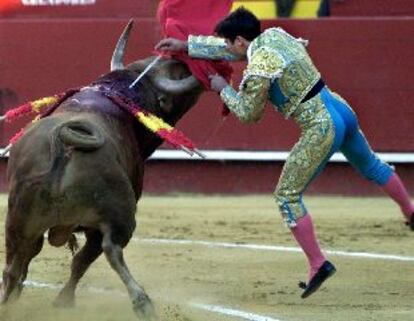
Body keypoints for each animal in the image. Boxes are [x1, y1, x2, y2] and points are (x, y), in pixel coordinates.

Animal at [0, 21, 203, 318]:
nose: (188, 64)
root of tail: (65, 140)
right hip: (114, 215)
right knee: (105, 249)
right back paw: (139, 302)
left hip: (19, 220)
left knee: (16, 266)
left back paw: (11, 303)